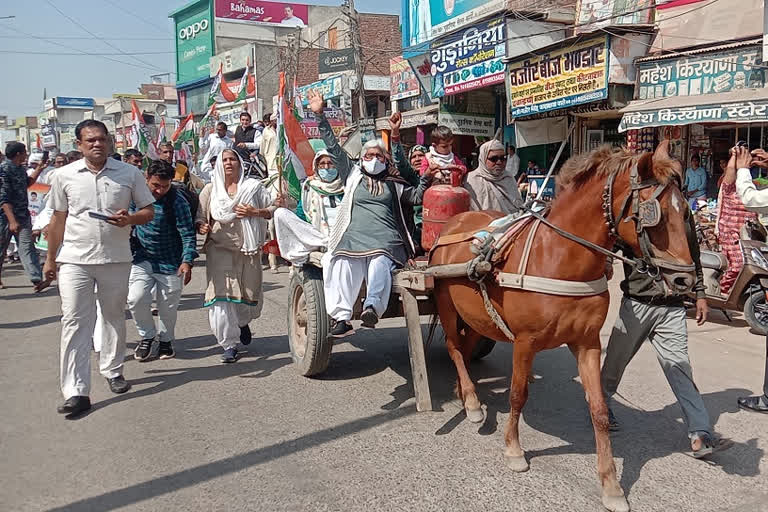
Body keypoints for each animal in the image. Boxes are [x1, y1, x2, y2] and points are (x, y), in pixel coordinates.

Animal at [432, 143, 688, 512]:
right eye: (657, 213)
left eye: (686, 211)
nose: (685, 280)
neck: (560, 257)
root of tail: (456, 222)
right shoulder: (525, 342)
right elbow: (517, 394)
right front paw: (514, 449)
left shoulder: (588, 343)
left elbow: (598, 409)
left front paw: (611, 485)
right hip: (447, 304)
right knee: (454, 348)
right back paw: (472, 403)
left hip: (477, 317)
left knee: (465, 351)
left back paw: (465, 394)